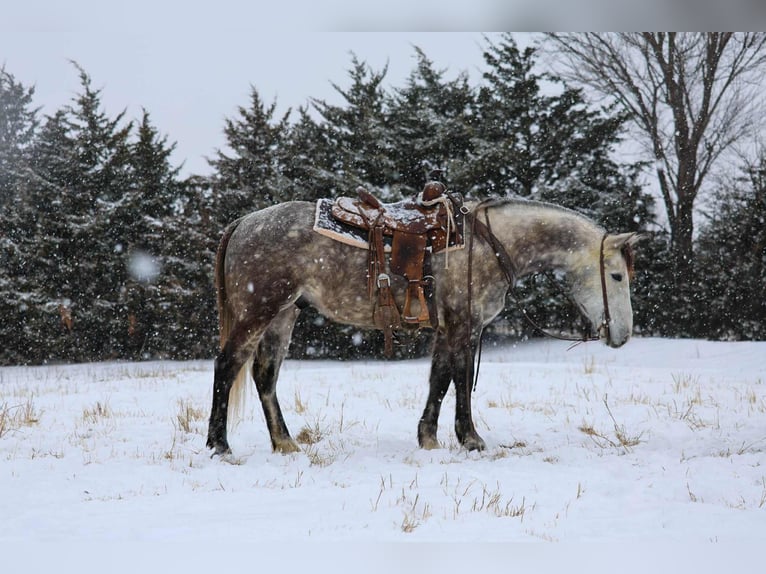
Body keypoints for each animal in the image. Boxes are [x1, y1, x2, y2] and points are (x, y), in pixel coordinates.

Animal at [206, 196, 639, 456]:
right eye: (617, 276)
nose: (622, 335)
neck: (490, 244)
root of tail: (243, 222)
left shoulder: (447, 328)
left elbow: (440, 379)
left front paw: (428, 437)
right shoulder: (465, 325)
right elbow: (461, 379)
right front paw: (471, 439)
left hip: (283, 315)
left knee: (264, 375)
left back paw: (284, 443)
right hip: (257, 311)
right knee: (227, 366)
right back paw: (219, 445)